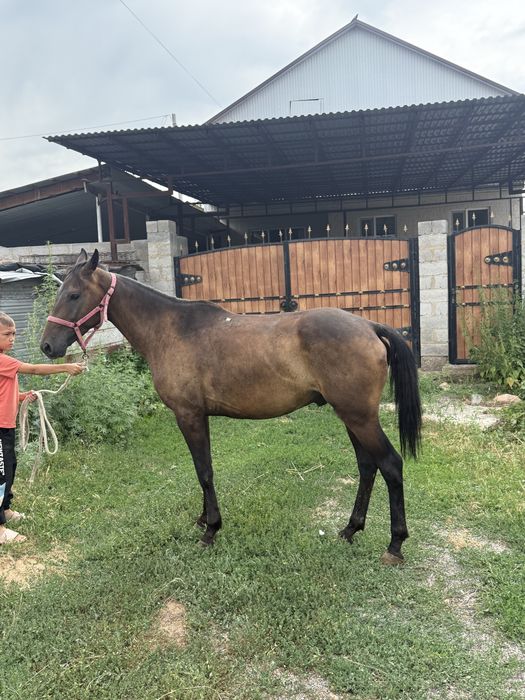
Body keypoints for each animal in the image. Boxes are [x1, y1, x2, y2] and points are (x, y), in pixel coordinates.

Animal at [40, 249, 422, 565]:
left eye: (74, 295)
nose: (47, 346)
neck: (170, 329)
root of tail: (368, 325)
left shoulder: (189, 416)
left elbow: (204, 471)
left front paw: (211, 529)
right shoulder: (196, 417)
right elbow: (202, 471)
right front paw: (202, 520)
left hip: (360, 418)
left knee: (390, 465)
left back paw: (394, 545)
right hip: (352, 417)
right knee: (367, 467)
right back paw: (350, 529)